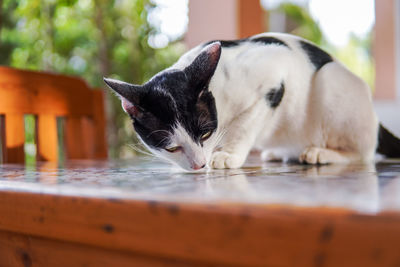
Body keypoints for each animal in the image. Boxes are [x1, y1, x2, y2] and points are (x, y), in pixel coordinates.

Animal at [104, 32, 400, 171]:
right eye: (171, 147)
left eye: (205, 133)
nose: (199, 165)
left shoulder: (275, 75)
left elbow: (245, 125)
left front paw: (229, 155)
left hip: (331, 80)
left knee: (363, 153)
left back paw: (321, 153)